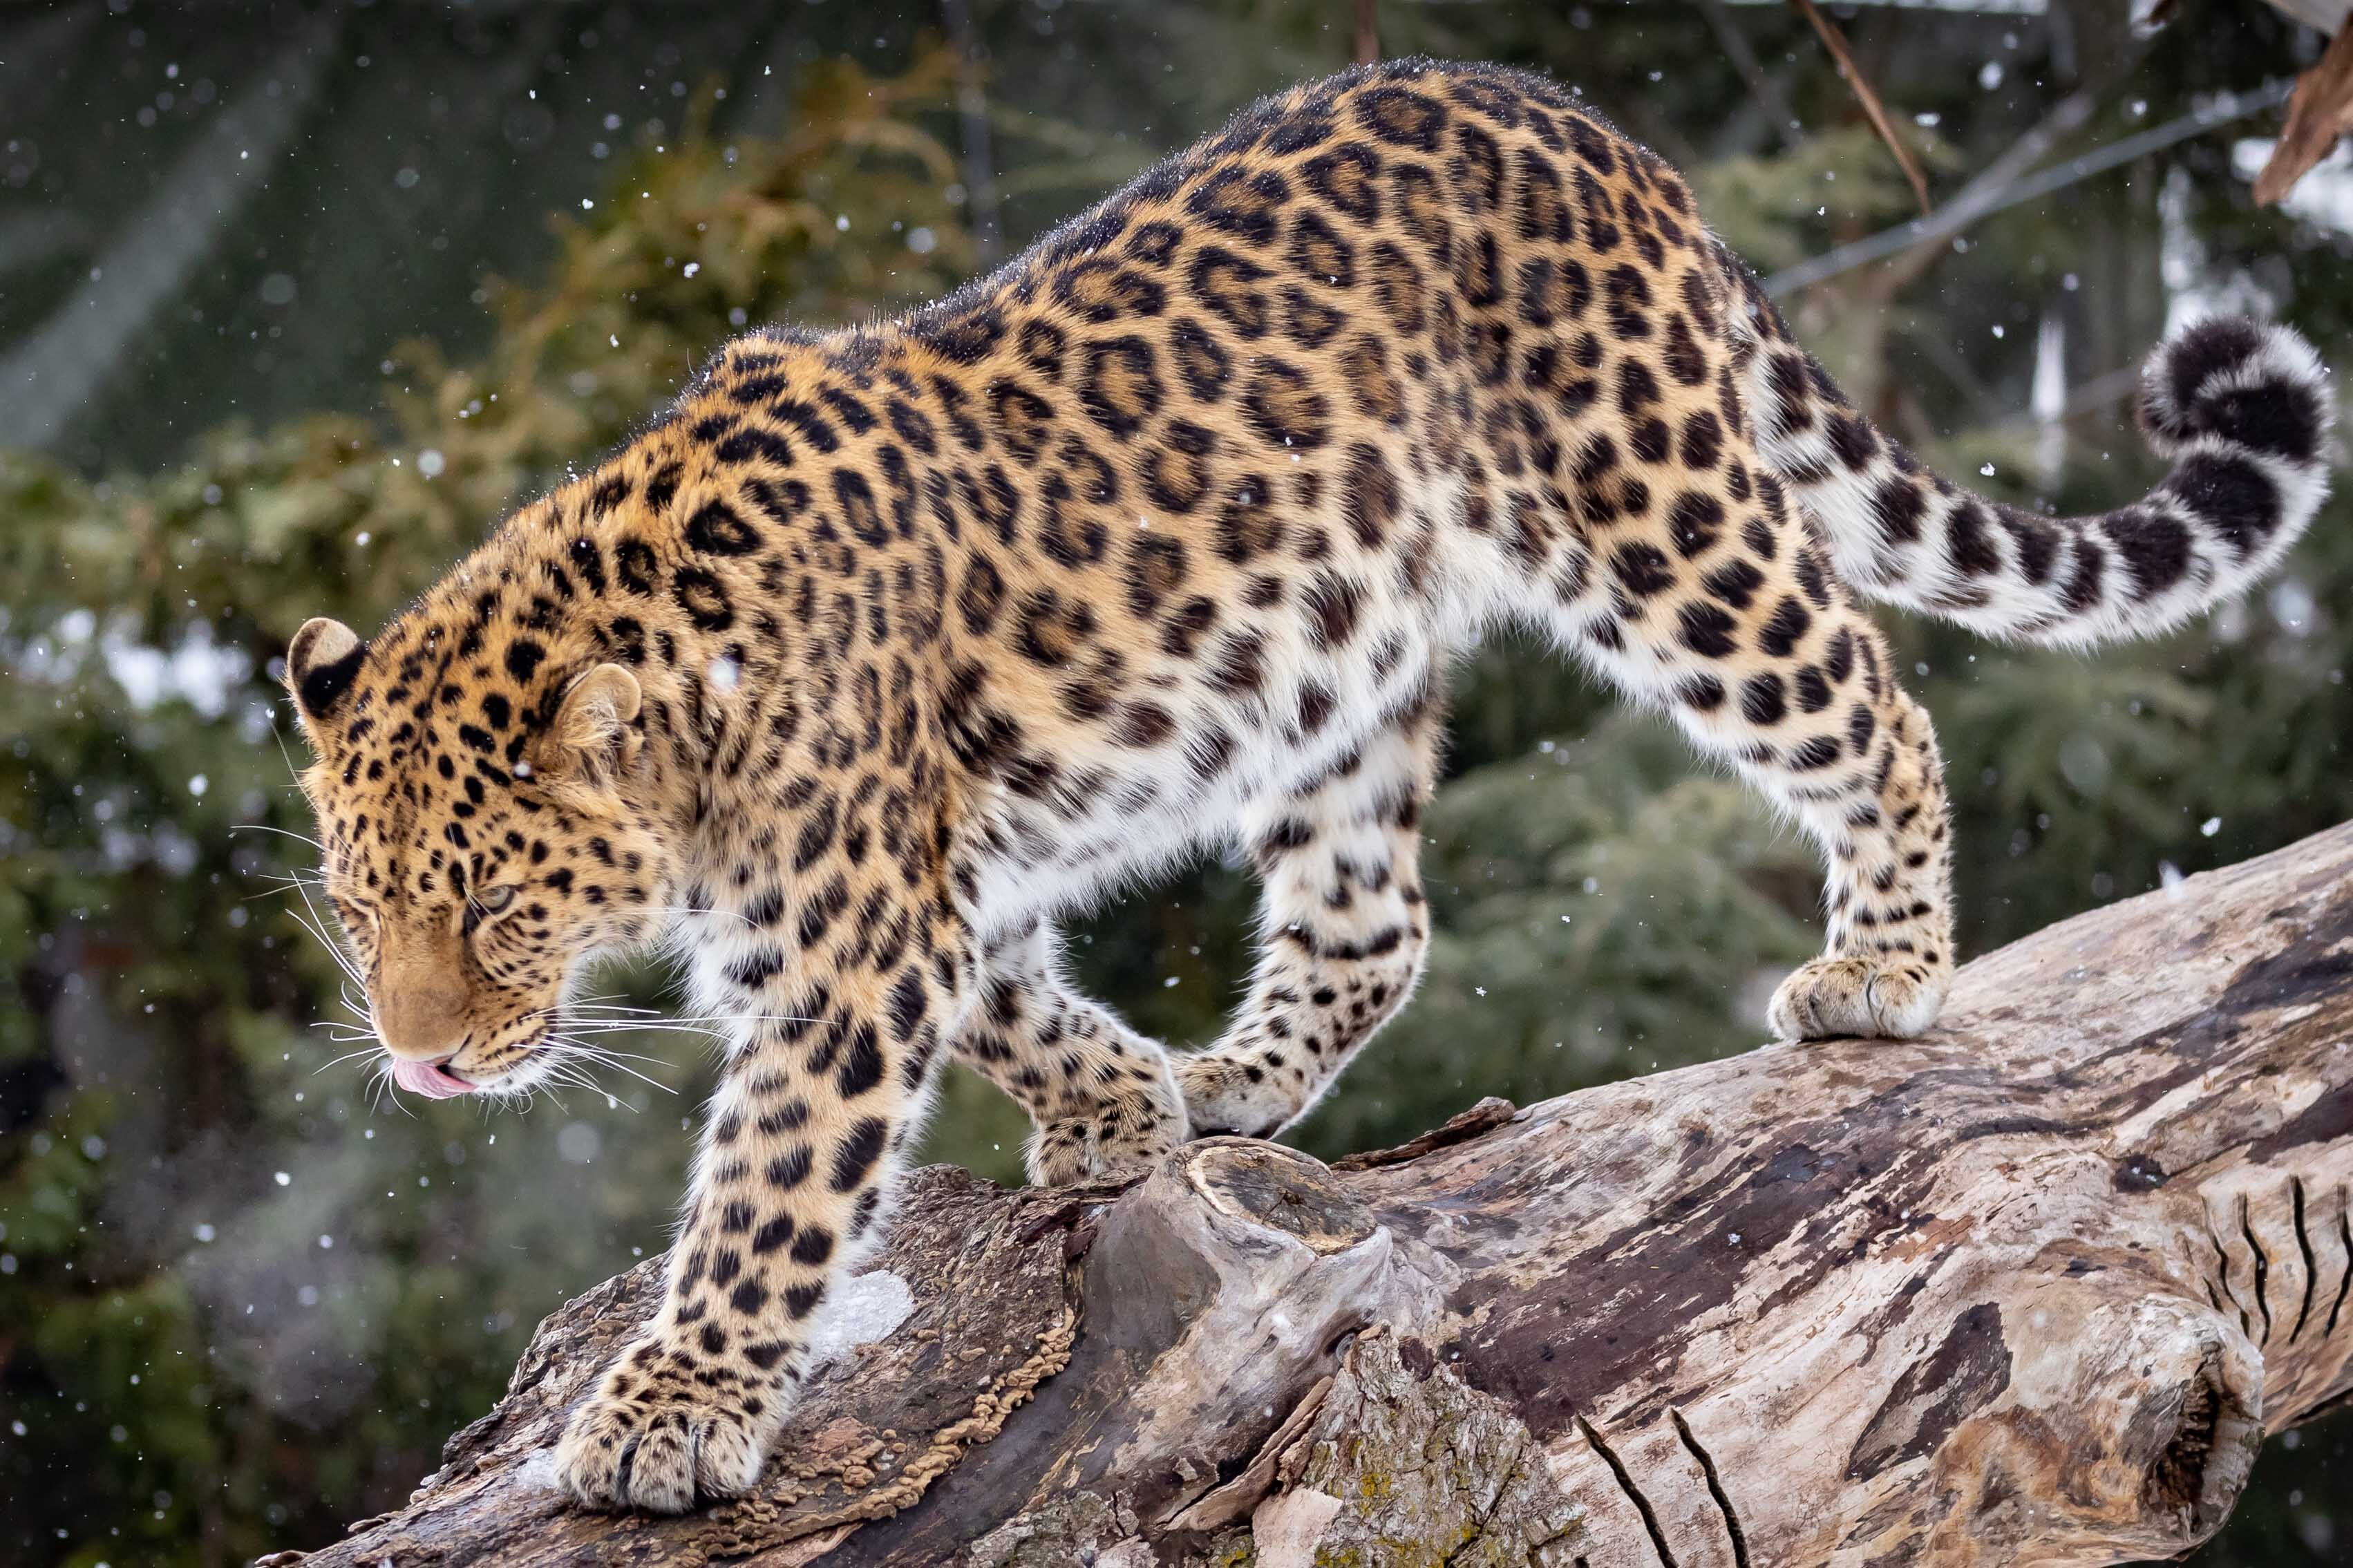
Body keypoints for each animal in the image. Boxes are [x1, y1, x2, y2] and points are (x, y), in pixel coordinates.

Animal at [282, 58, 2332, 1513]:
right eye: (359, 916)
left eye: (496, 906)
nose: (423, 1067)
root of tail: (1577, 122)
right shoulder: (920, 885)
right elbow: (1011, 993)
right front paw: (1117, 1108)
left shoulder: (852, 939)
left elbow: (768, 1192)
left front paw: (667, 1410)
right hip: (1324, 670)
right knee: (1377, 918)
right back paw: (1233, 1087)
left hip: (1657, 516)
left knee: (1871, 699)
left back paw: (1880, 969)